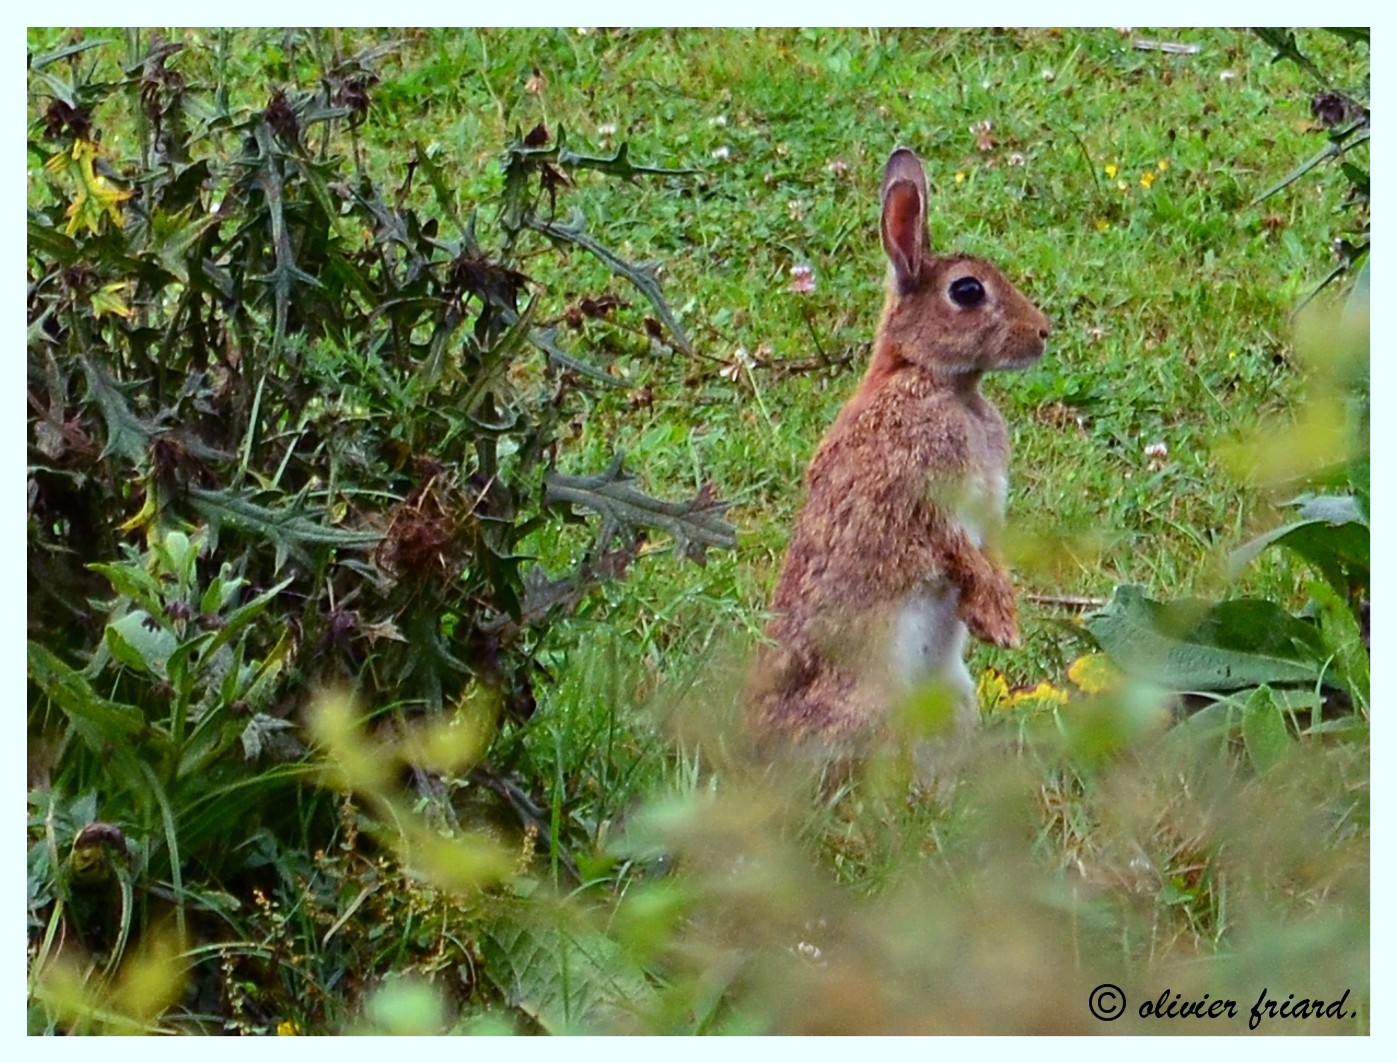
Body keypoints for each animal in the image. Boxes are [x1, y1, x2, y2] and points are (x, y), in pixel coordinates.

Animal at [754, 147, 1050, 754]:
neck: (933, 377)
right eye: (967, 292)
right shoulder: (920, 492)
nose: (1042, 332)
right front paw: (998, 622)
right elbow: (957, 550)